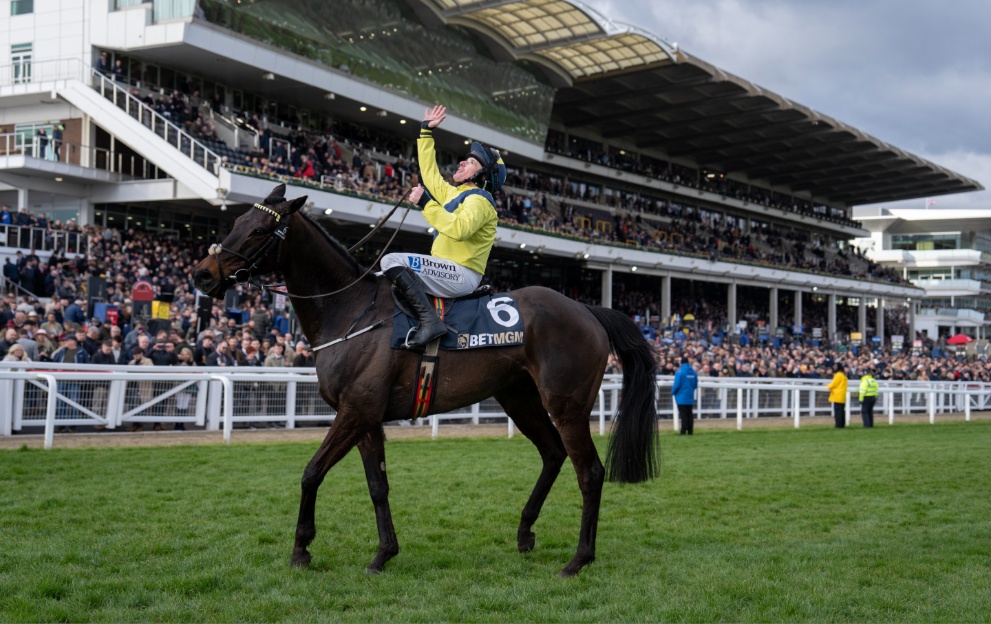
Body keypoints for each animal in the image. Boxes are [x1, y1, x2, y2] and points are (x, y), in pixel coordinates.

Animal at [193, 184, 660, 576]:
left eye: (257, 231)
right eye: (235, 222)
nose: (202, 275)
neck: (352, 308)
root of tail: (588, 310)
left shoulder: (355, 410)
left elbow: (311, 472)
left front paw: (301, 549)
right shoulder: (365, 417)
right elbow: (377, 485)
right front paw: (383, 554)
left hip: (567, 404)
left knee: (590, 471)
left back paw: (578, 560)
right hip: (518, 397)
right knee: (552, 453)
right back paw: (525, 532)